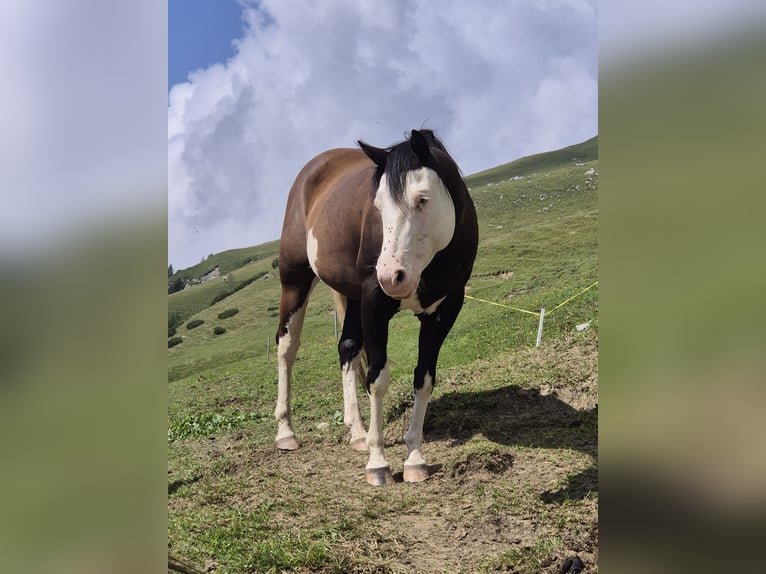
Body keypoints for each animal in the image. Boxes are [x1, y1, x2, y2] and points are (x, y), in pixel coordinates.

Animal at [274, 129, 478, 485]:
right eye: (379, 206)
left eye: (422, 199)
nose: (389, 276)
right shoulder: (374, 303)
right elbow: (377, 379)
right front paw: (378, 462)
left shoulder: (444, 311)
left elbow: (424, 379)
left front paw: (414, 458)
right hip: (296, 282)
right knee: (287, 347)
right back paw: (286, 431)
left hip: (352, 298)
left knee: (347, 347)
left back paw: (357, 431)